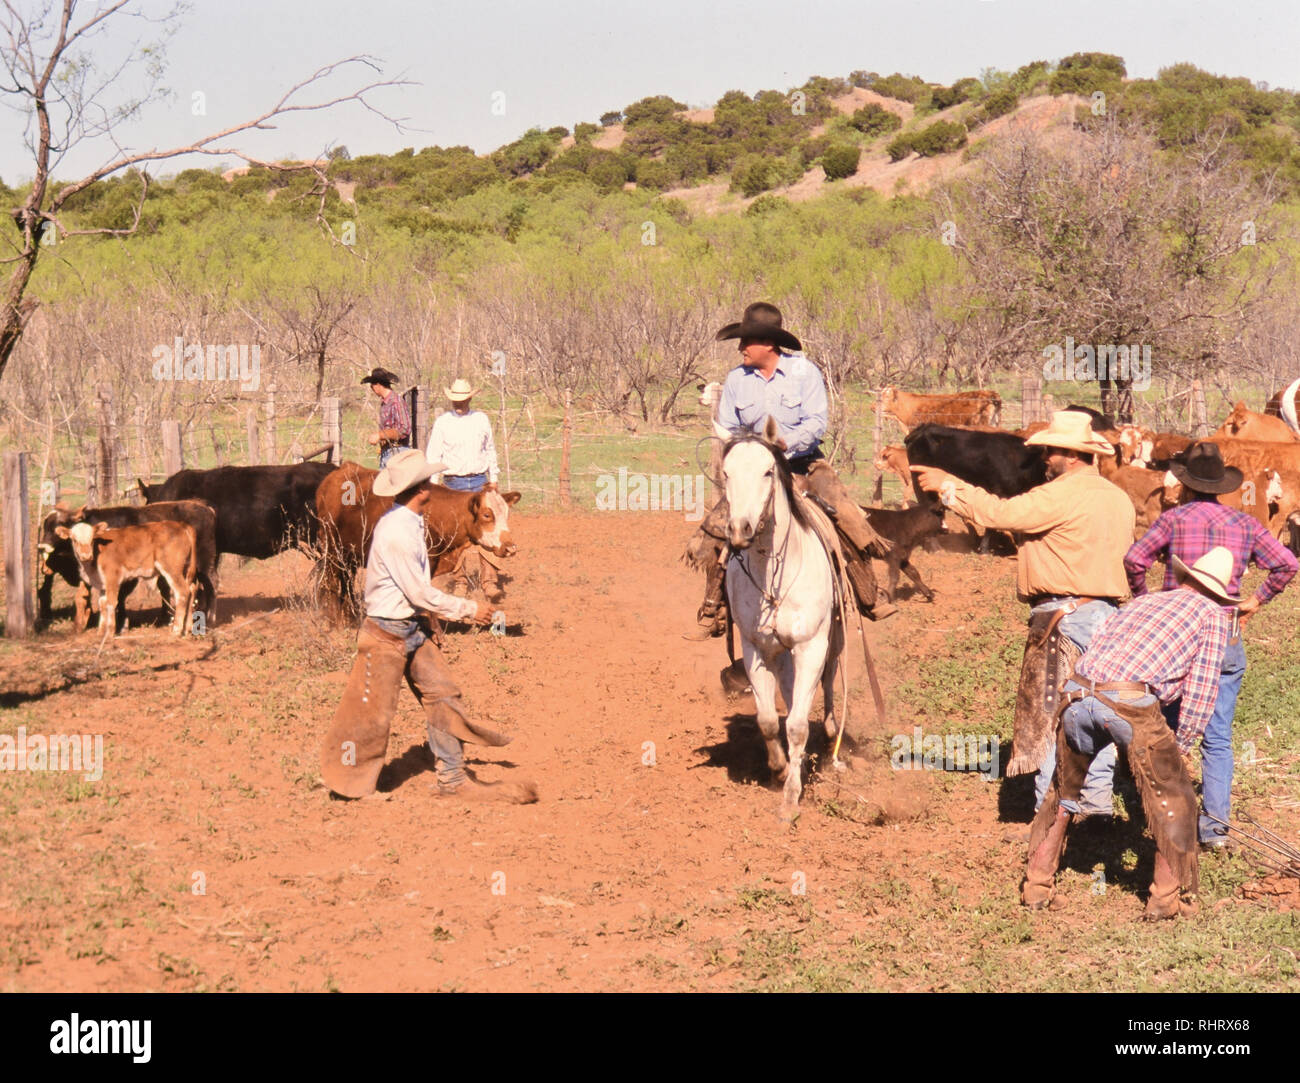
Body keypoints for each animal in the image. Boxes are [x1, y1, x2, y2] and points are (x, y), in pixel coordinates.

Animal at [37, 496, 218, 624]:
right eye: (45, 526)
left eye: (59, 524)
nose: (42, 546)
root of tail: (205, 508)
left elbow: (120, 596)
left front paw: (121, 622)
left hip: (205, 562)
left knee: (211, 584)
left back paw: (210, 618)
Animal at [56, 520, 198, 637]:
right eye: (74, 540)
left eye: (92, 539)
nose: (86, 556)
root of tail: (181, 525)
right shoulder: (102, 583)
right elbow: (102, 605)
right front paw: (100, 632)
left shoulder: (112, 578)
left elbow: (111, 603)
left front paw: (109, 633)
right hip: (185, 569)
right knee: (191, 590)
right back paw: (188, 628)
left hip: (171, 569)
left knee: (182, 592)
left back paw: (176, 630)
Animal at [313, 457, 517, 624]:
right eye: (487, 515)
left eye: (507, 513)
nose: (511, 548)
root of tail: (336, 475)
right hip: (332, 552)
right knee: (332, 583)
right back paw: (336, 622)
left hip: (349, 557)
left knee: (346, 583)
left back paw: (350, 616)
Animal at [722, 416, 842, 821]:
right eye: (725, 473)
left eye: (767, 471)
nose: (739, 529)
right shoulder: (756, 647)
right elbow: (768, 720)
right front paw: (778, 769)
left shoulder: (811, 646)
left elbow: (799, 727)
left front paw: (790, 800)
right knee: (789, 696)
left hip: (832, 643)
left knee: (828, 686)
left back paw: (832, 739)